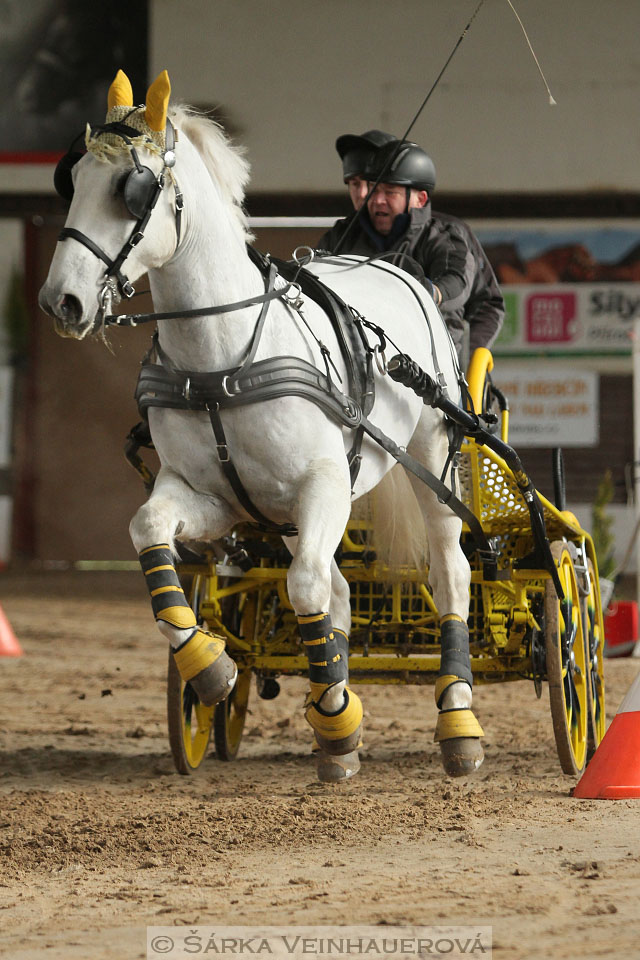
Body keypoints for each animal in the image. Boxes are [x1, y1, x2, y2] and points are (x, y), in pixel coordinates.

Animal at [37, 73, 482, 780]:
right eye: (71, 178)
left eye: (132, 189)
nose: (63, 302)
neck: (221, 360)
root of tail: (396, 268)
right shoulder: (214, 497)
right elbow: (149, 529)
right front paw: (212, 670)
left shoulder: (323, 483)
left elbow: (303, 584)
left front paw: (337, 720)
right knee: (337, 589)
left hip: (433, 457)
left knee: (449, 573)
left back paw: (458, 723)